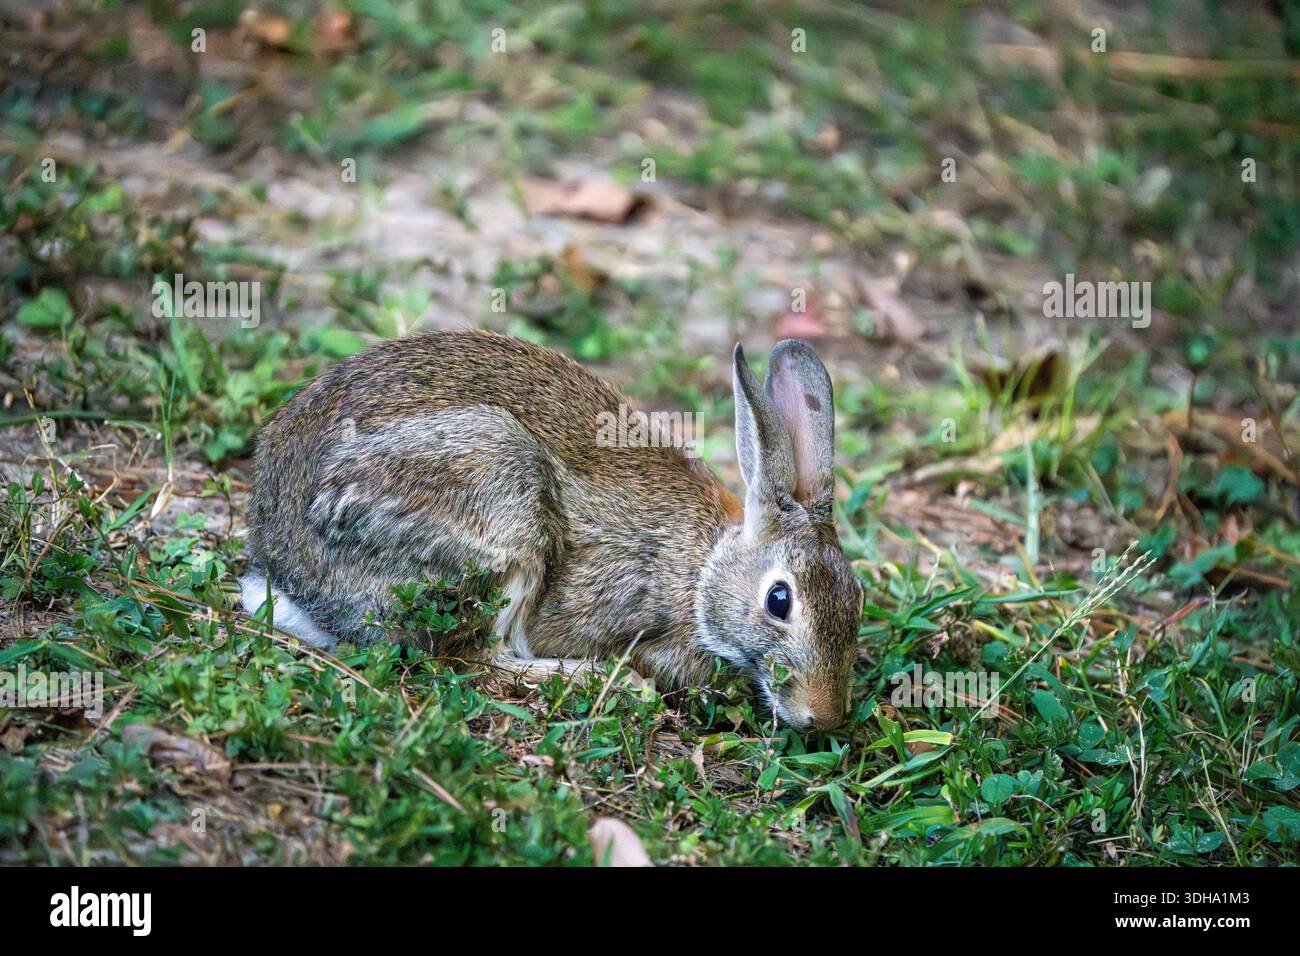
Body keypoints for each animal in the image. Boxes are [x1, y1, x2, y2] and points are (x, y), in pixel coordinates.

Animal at [241, 329, 864, 730]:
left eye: (858, 600)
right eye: (779, 600)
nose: (825, 717)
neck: (703, 570)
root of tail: (289, 575)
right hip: (498, 490)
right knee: (477, 662)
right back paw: (611, 682)